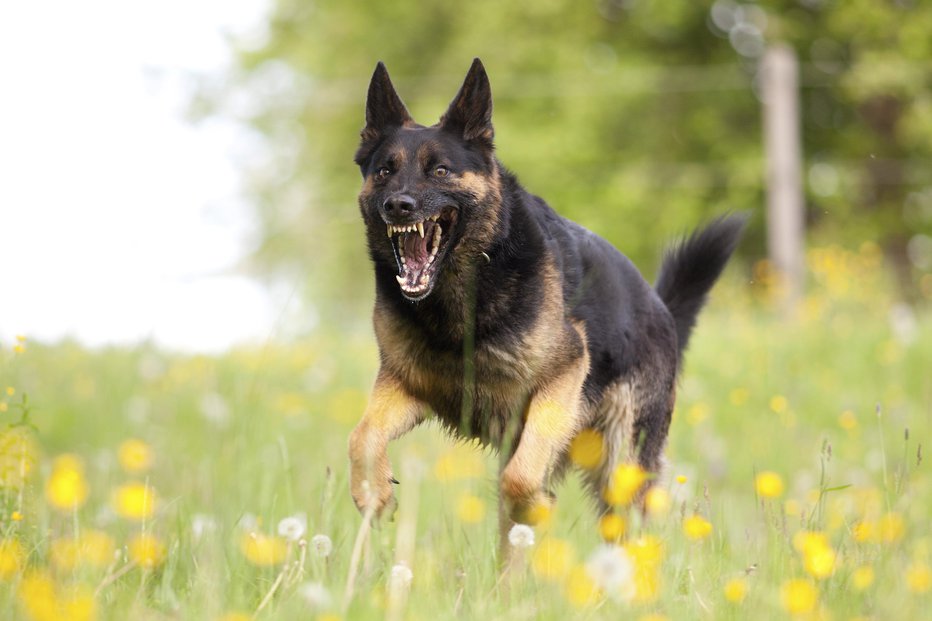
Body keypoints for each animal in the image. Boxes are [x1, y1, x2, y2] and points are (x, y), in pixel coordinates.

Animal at [346, 58, 748, 548]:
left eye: (439, 170)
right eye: (385, 170)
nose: (397, 206)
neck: (463, 298)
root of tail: (661, 308)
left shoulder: (561, 378)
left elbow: (521, 480)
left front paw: (536, 503)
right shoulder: (407, 386)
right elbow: (361, 435)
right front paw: (373, 492)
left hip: (621, 465)